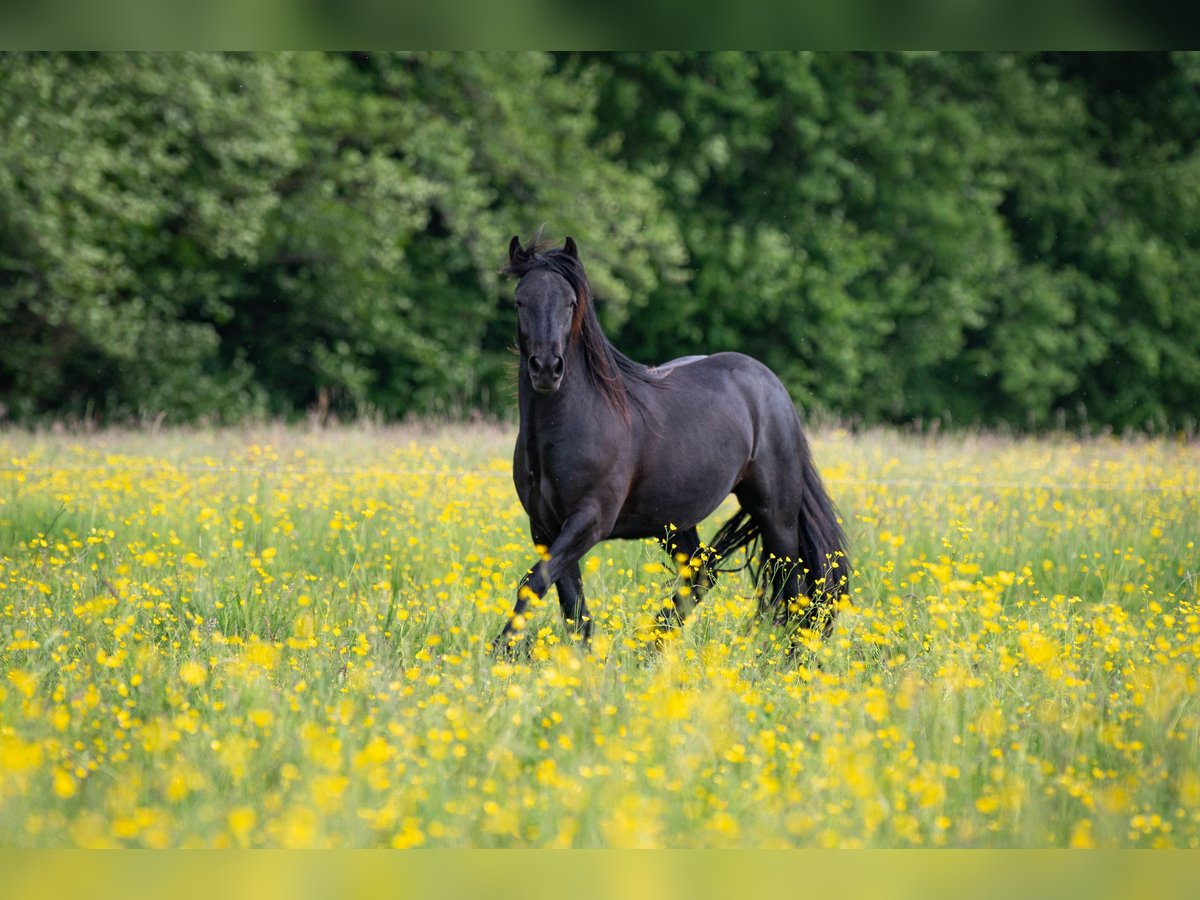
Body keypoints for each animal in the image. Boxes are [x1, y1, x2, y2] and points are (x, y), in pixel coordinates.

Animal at [491, 233, 848, 654]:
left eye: (570, 302)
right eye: (520, 300)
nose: (547, 369)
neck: (565, 430)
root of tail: (770, 385)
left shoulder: (589, 520)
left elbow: (535, 583)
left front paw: (498, 652)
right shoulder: (544, 528)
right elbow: (568, 601)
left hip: (774, 511)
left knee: (793, 588)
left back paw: (790, 661)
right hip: (675, 522)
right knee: (702, 574)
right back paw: (649, 644)